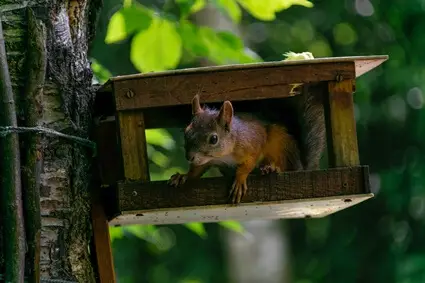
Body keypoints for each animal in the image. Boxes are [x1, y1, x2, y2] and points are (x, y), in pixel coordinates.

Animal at [166, 84, 324, 204]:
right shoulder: (206, 161)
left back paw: (271, 168)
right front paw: (183, 176)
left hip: (281, 143)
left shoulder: (253, 142)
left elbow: (249, 163)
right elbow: (197, 170)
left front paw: (240, 179)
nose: (189, 157)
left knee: (285, 165)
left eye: (214, 139)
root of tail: (302, 166)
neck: (224, 155)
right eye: (186, 132)